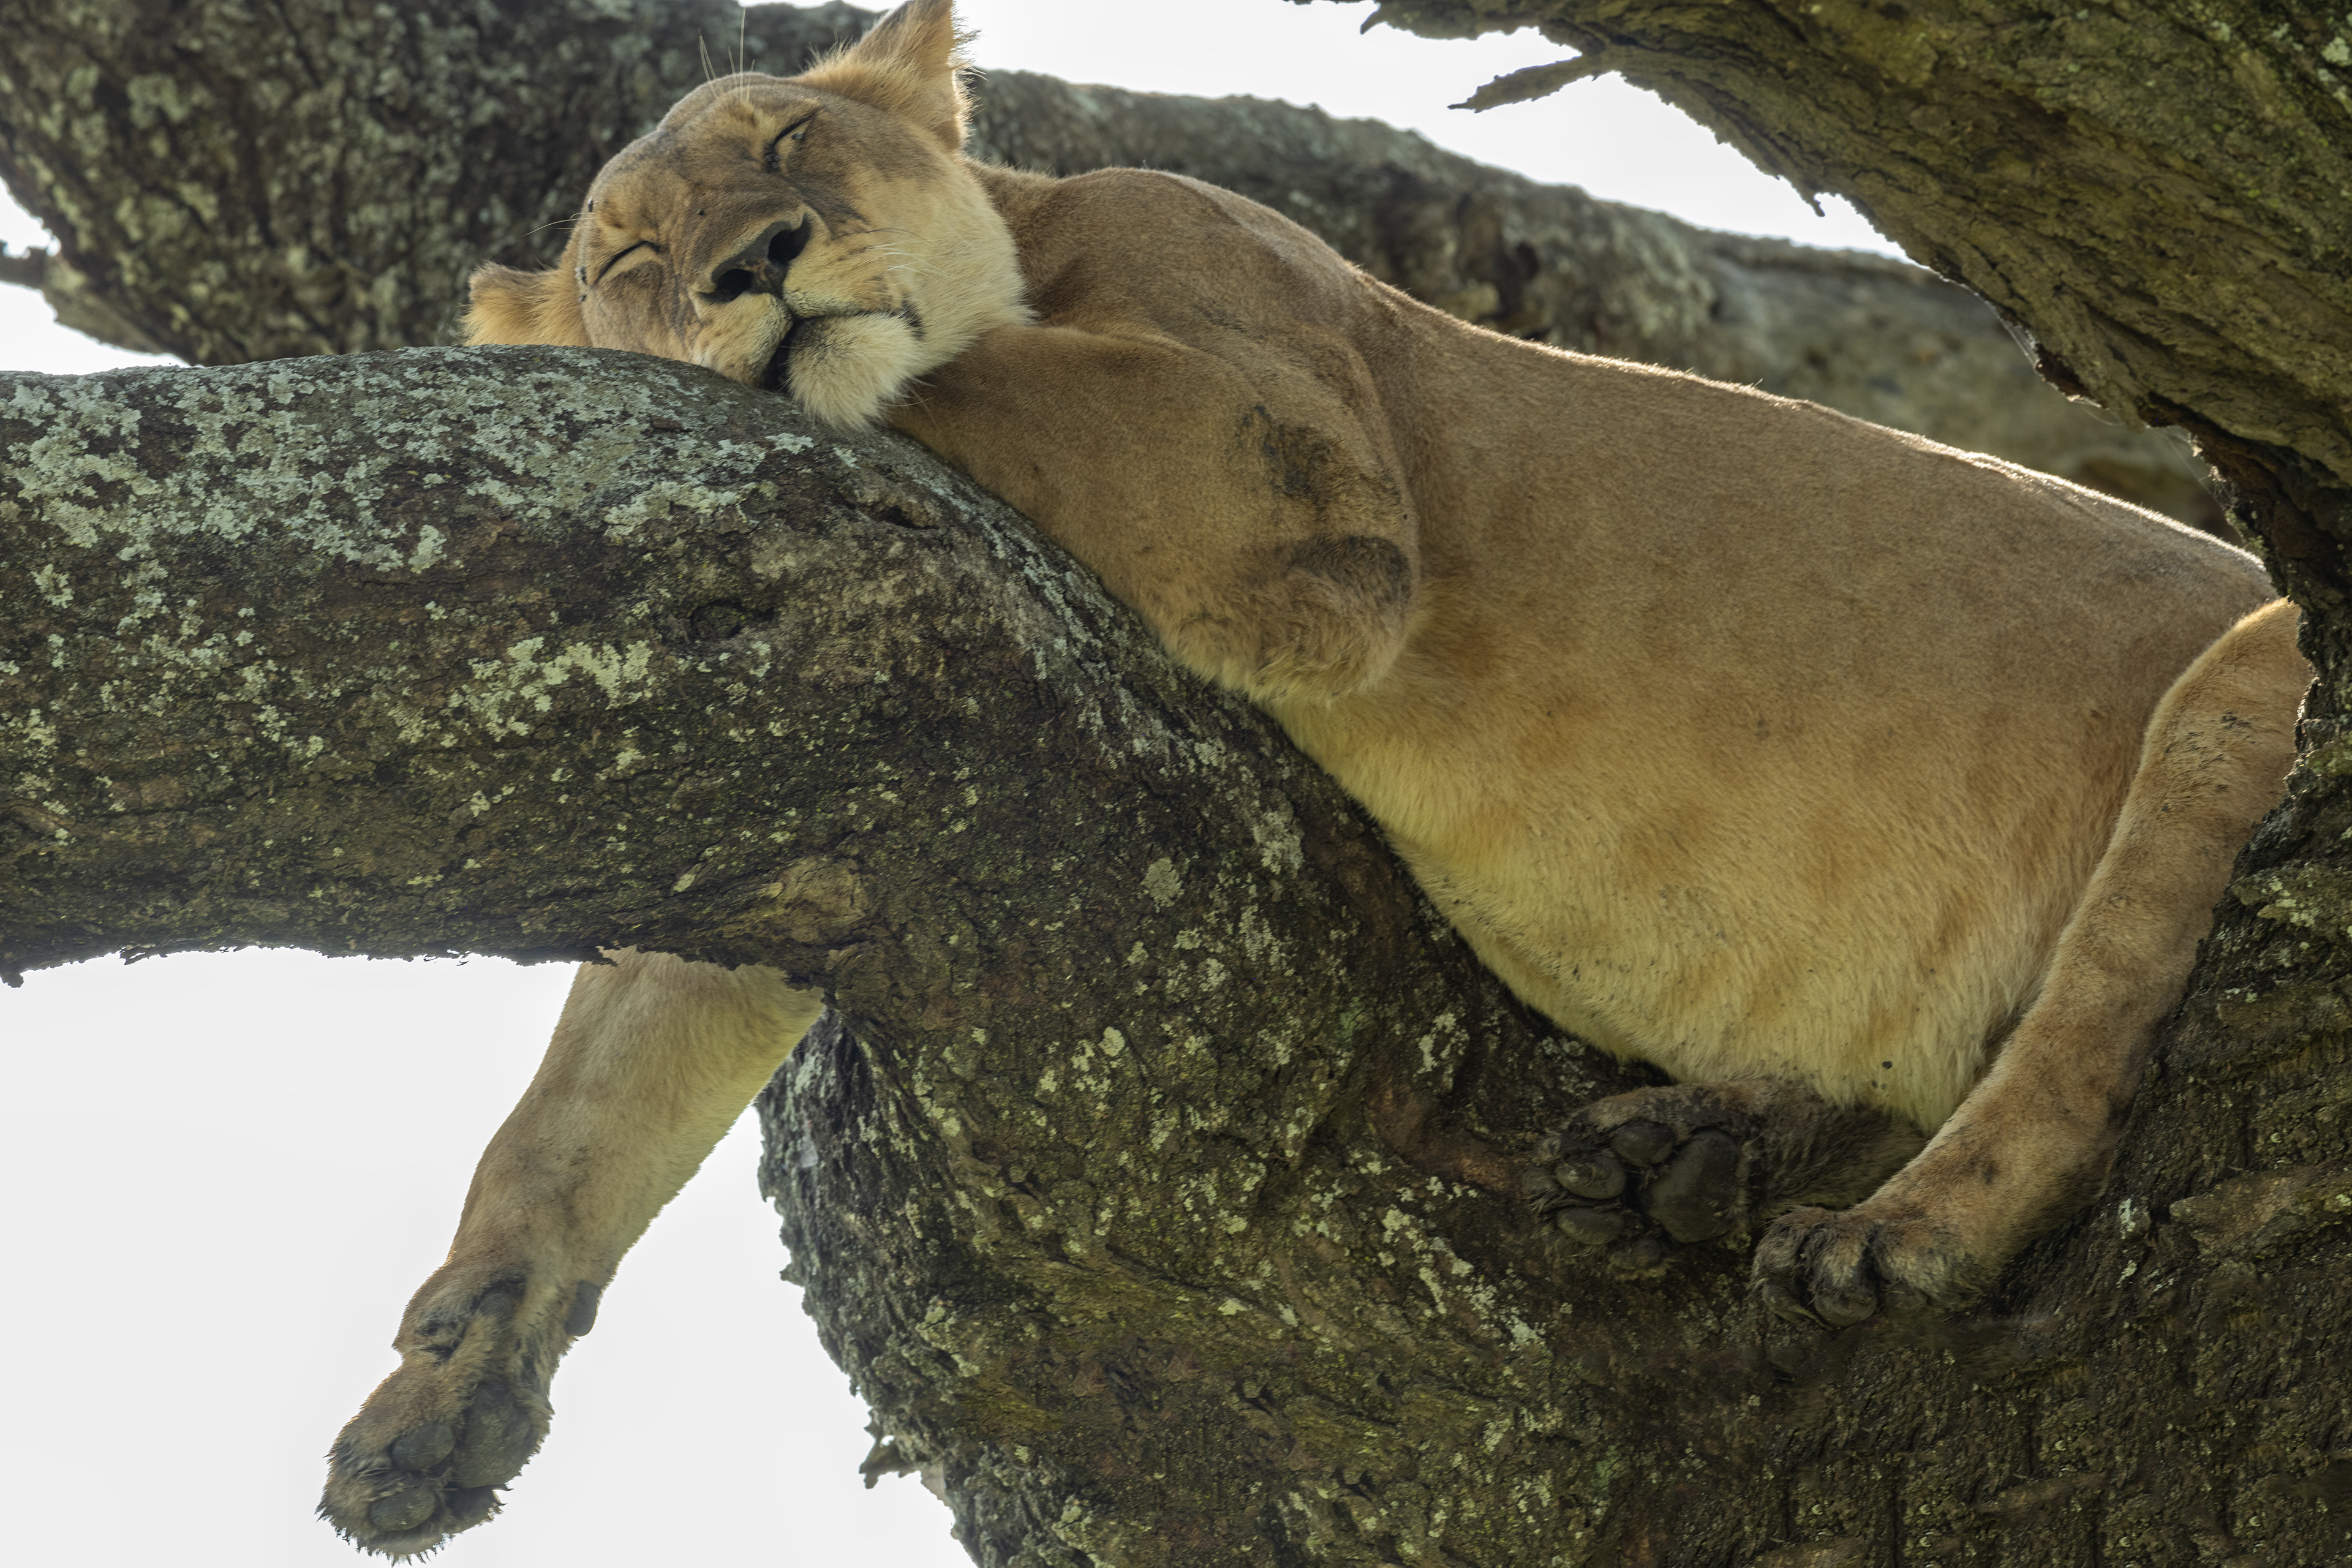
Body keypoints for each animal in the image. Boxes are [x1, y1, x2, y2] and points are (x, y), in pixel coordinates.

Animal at [317, 0, 2311, 1554]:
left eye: (791, 136)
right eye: (631, 260)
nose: (749, 268)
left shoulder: (1287, 461)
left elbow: (935, 383)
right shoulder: (826, 771)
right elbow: (593, 1082)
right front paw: (444, 1385)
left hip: (2251, 665)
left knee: (2079, 1045)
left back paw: (1891, 1235)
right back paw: (1684, 1151)